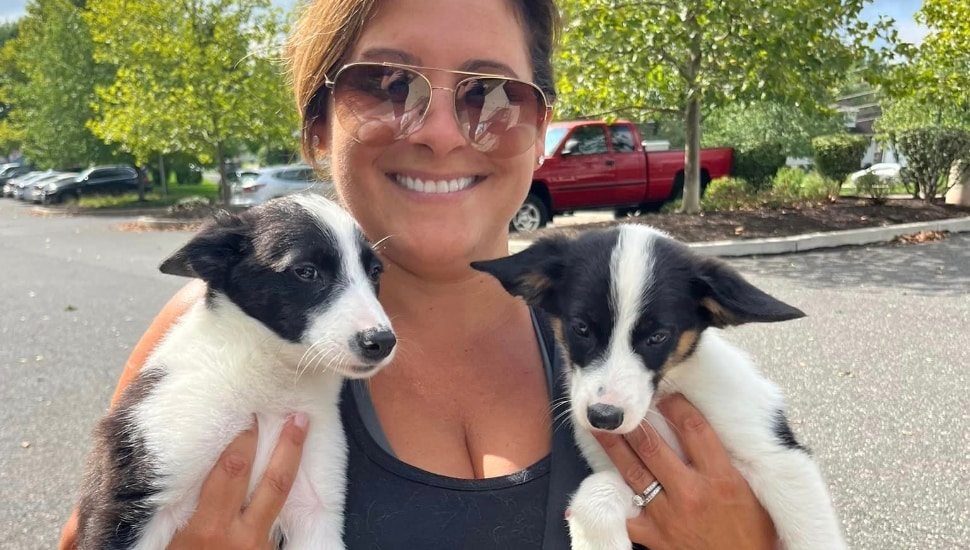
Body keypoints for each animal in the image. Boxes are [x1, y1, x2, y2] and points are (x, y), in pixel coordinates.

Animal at [74, 195, 394, 550]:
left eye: (375, 272)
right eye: (306, 272)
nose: (382, 341)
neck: (270, 384)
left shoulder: (317, 514)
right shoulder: (133, 500)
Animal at [472, 225, 844, 550]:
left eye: (657, 337)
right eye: (581, 328)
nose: (604, 417)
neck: (659, 402)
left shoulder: (780, 458)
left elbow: (814, 535)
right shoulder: (640, 484)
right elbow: (594, 494)